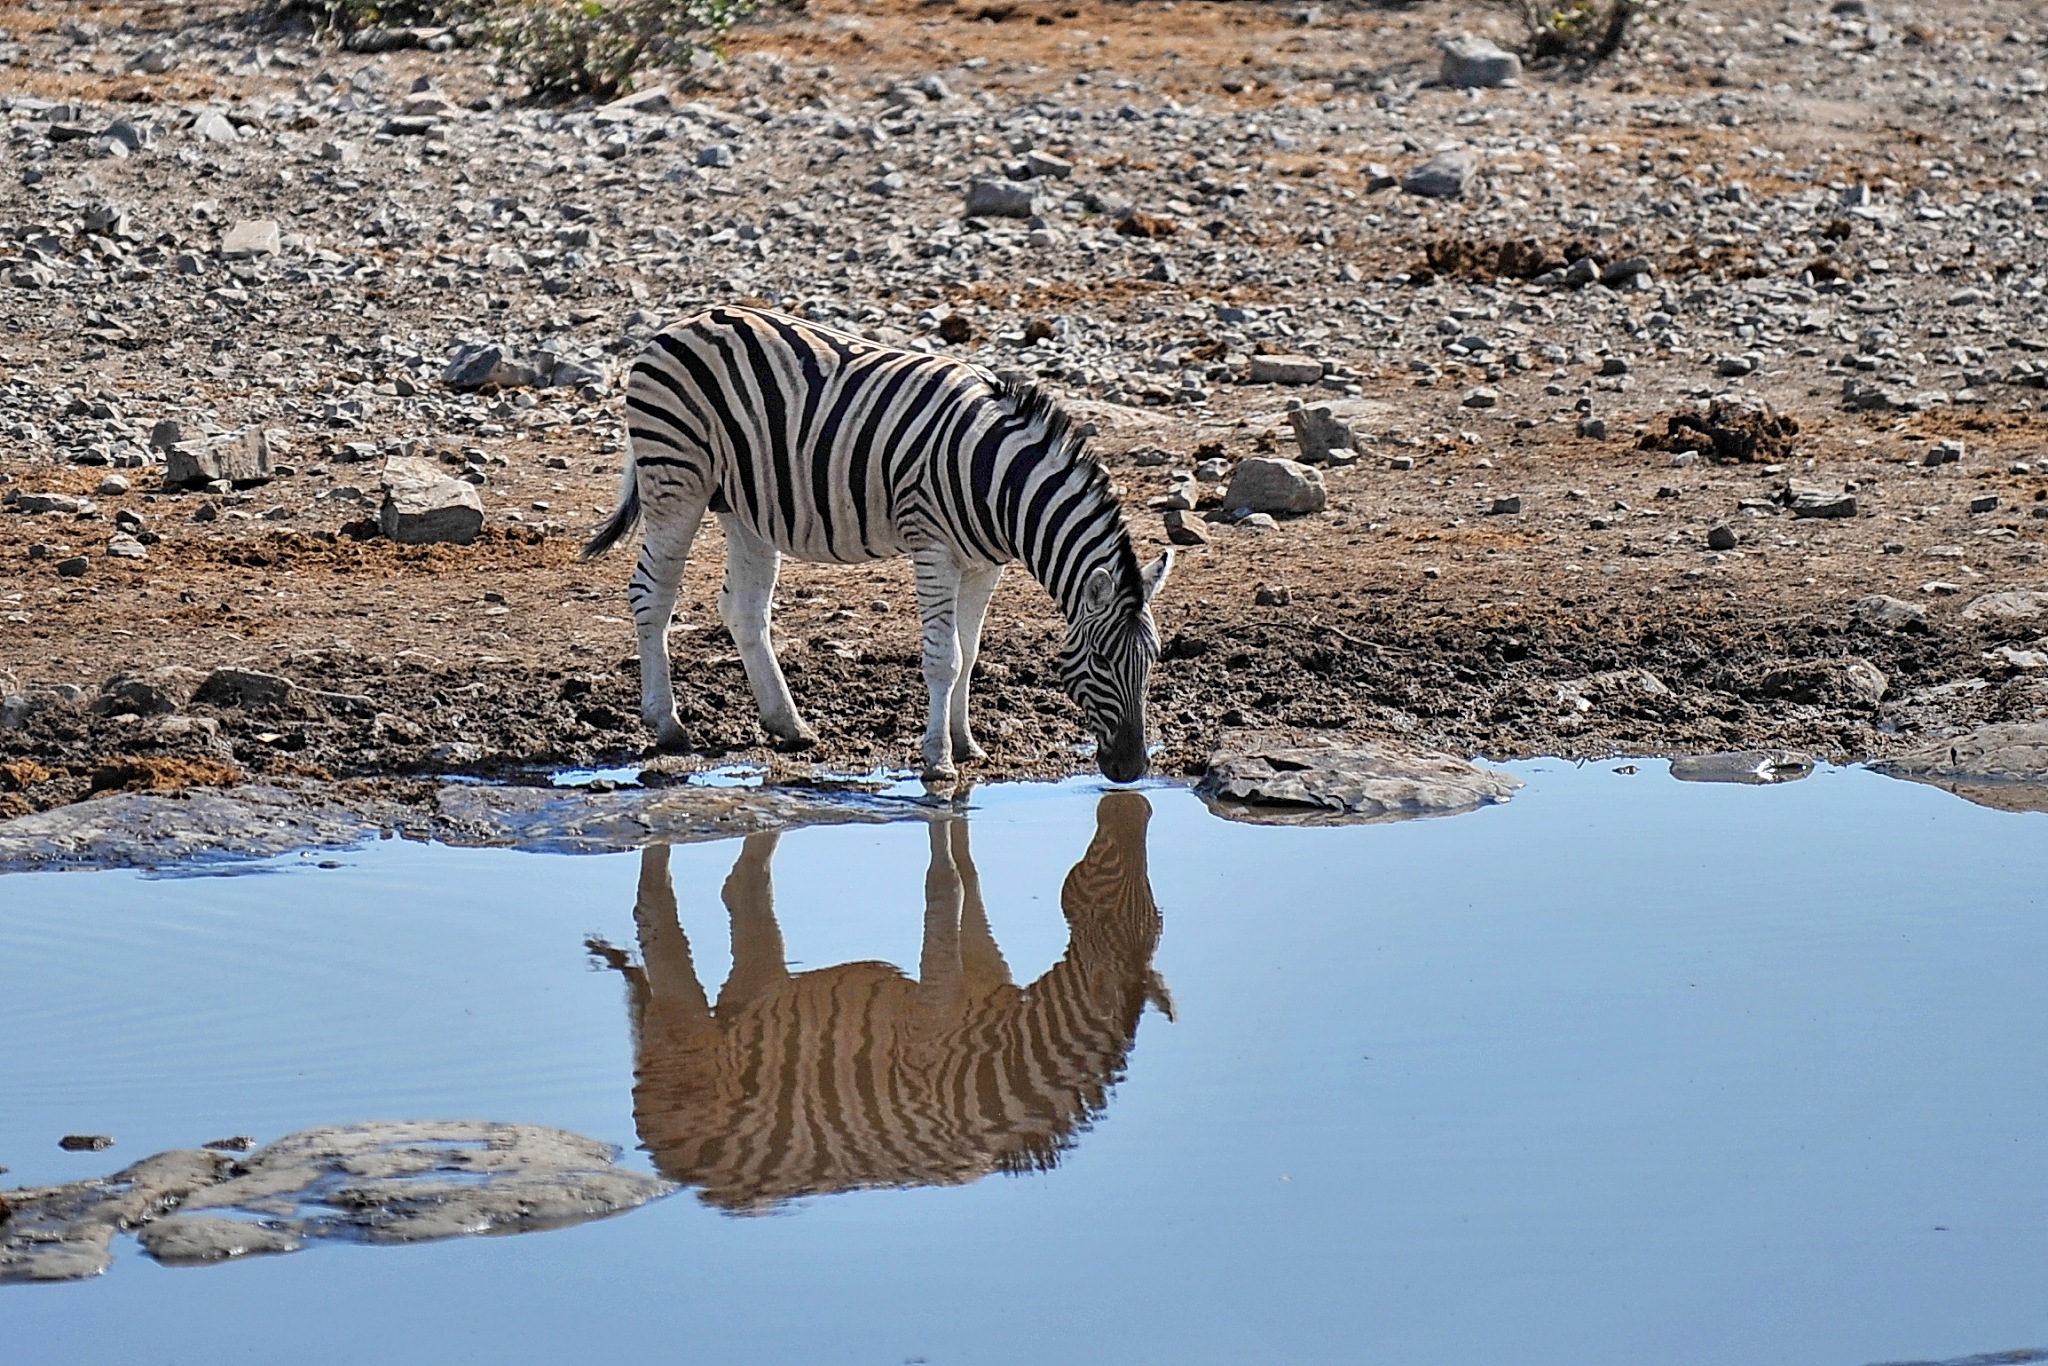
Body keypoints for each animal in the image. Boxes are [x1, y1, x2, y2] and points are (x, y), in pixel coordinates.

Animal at [583, 304, 1173, 783]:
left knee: (743, 609)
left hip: (743, 503)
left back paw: (789, 725)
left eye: (1154, 660)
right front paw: (938, 759)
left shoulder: (986, 564)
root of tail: (679, 323)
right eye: (1101, 662)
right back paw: (667, 725)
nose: (1131, 769)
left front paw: (968, 745)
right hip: (675, 476)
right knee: (651, 596)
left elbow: (971, 651)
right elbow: (944, 657)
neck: (1000, 482)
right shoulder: (933, 547)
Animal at [585, 791, 1167, 1212]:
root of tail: (677, 1171)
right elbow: (947, 888)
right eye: (1110, 877)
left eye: (1157, 917)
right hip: (684, 1036)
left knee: (738, 899)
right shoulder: (933, 1020)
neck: (1010, 1056)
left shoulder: (985, 976)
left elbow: (970, 881)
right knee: (655, 922)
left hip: (752, 1008)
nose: (1135, 804)